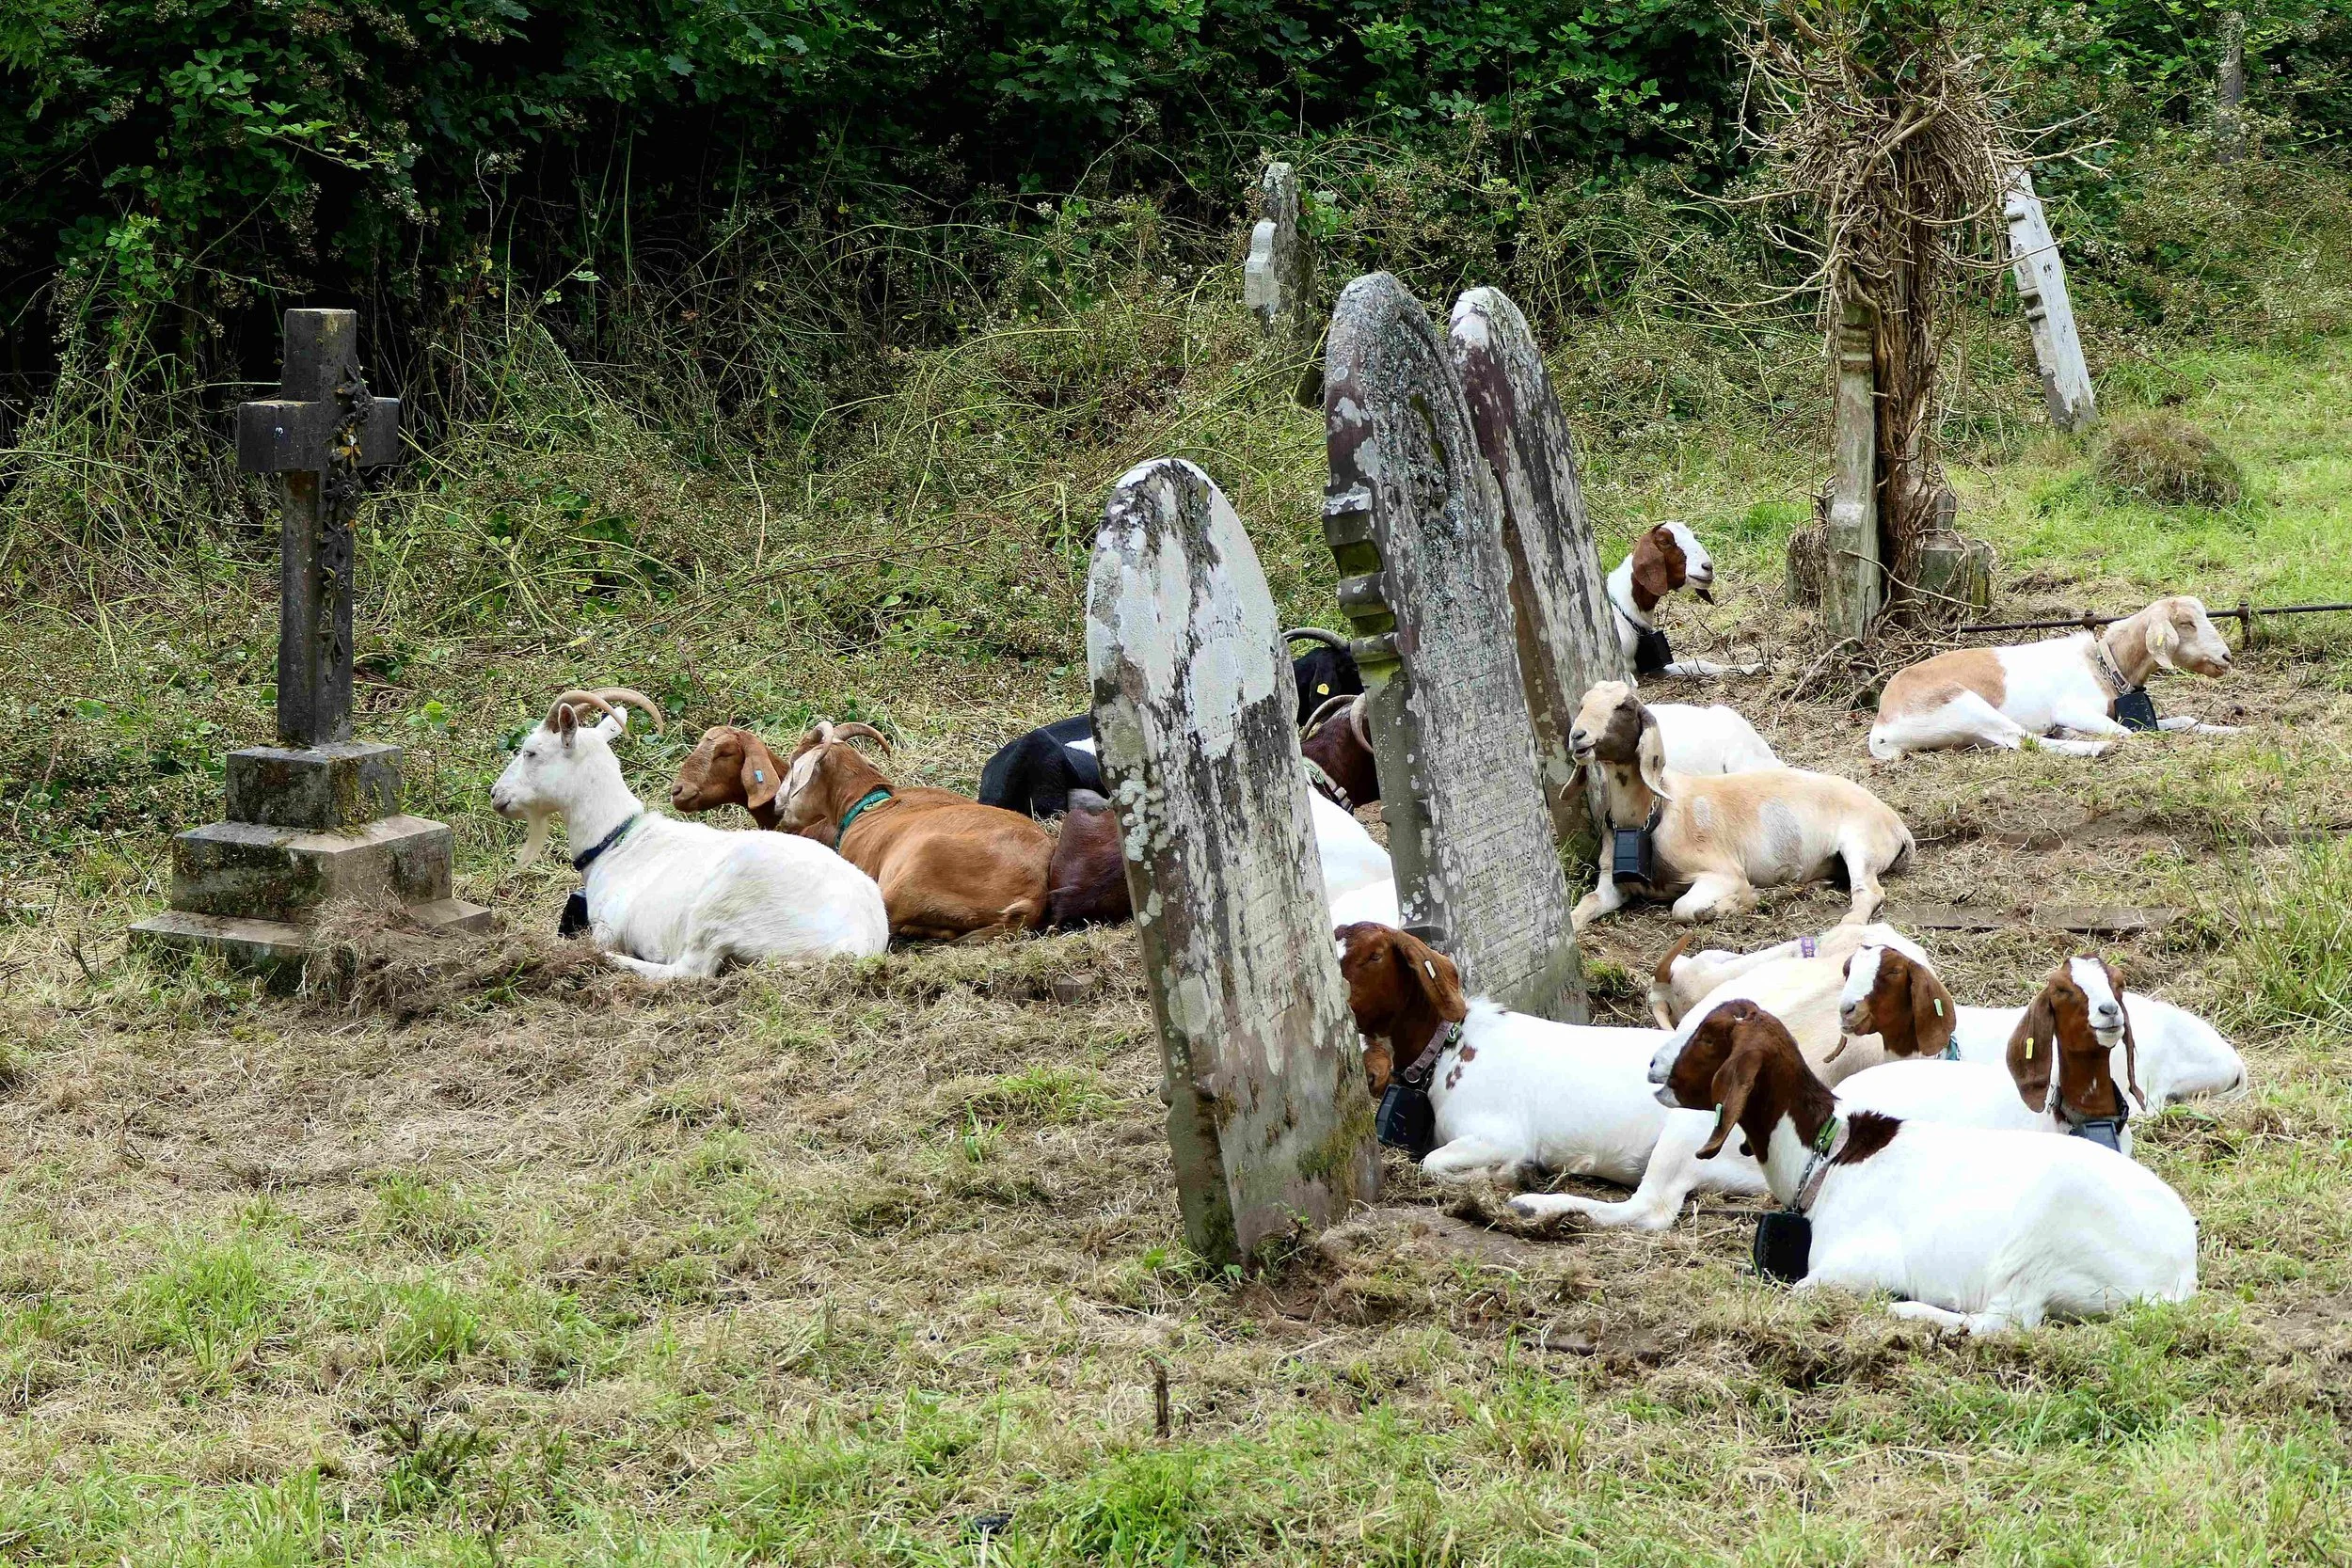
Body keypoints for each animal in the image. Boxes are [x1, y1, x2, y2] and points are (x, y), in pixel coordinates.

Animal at [491, 689, 888, 978]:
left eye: (530, 752)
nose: (497, 795)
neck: (617, 844)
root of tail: (857, 941)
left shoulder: (608, 927)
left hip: (720, 909)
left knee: (690, 971)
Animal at [1568, 681, 1912, 931]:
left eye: (1624, 706)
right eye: (1582, 704)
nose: (1577, 736)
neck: (1651, 817)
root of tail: (1898, 826)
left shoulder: (1722, 873)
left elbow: (1684, 908)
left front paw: (1747, 900)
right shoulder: (1612, 884)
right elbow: (1586, 903)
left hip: (1861, 846)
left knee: (1869, 892)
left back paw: (1846, 922)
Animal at [1606, 522, 1762, 680]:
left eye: (1694, 536)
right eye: (1664, 541)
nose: (1708, 567)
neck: (1624, 609)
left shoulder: (1655, 669)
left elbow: (1698, 664)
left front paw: (1751, 667)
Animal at [1645, 1000, 2197, 1333]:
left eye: (1708, 1037)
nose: (1652, 1067)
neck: (1832, 1154)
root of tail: (2180, 1275)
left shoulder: (1858, 1262)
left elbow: (1802, 1290)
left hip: (2038, 1248)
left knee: (2003, 1321)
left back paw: (1907, 1308)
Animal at [1869, 595, 2239, 761]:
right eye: (2186, 623)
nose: (2226, 658)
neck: (2102, 665)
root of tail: (1882, 727)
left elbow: (2184, 721)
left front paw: (2239, 730)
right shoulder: (2074, 709)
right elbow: (2128, 733)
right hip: (1965, 704)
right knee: (2025, 740)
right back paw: (2094, 746)